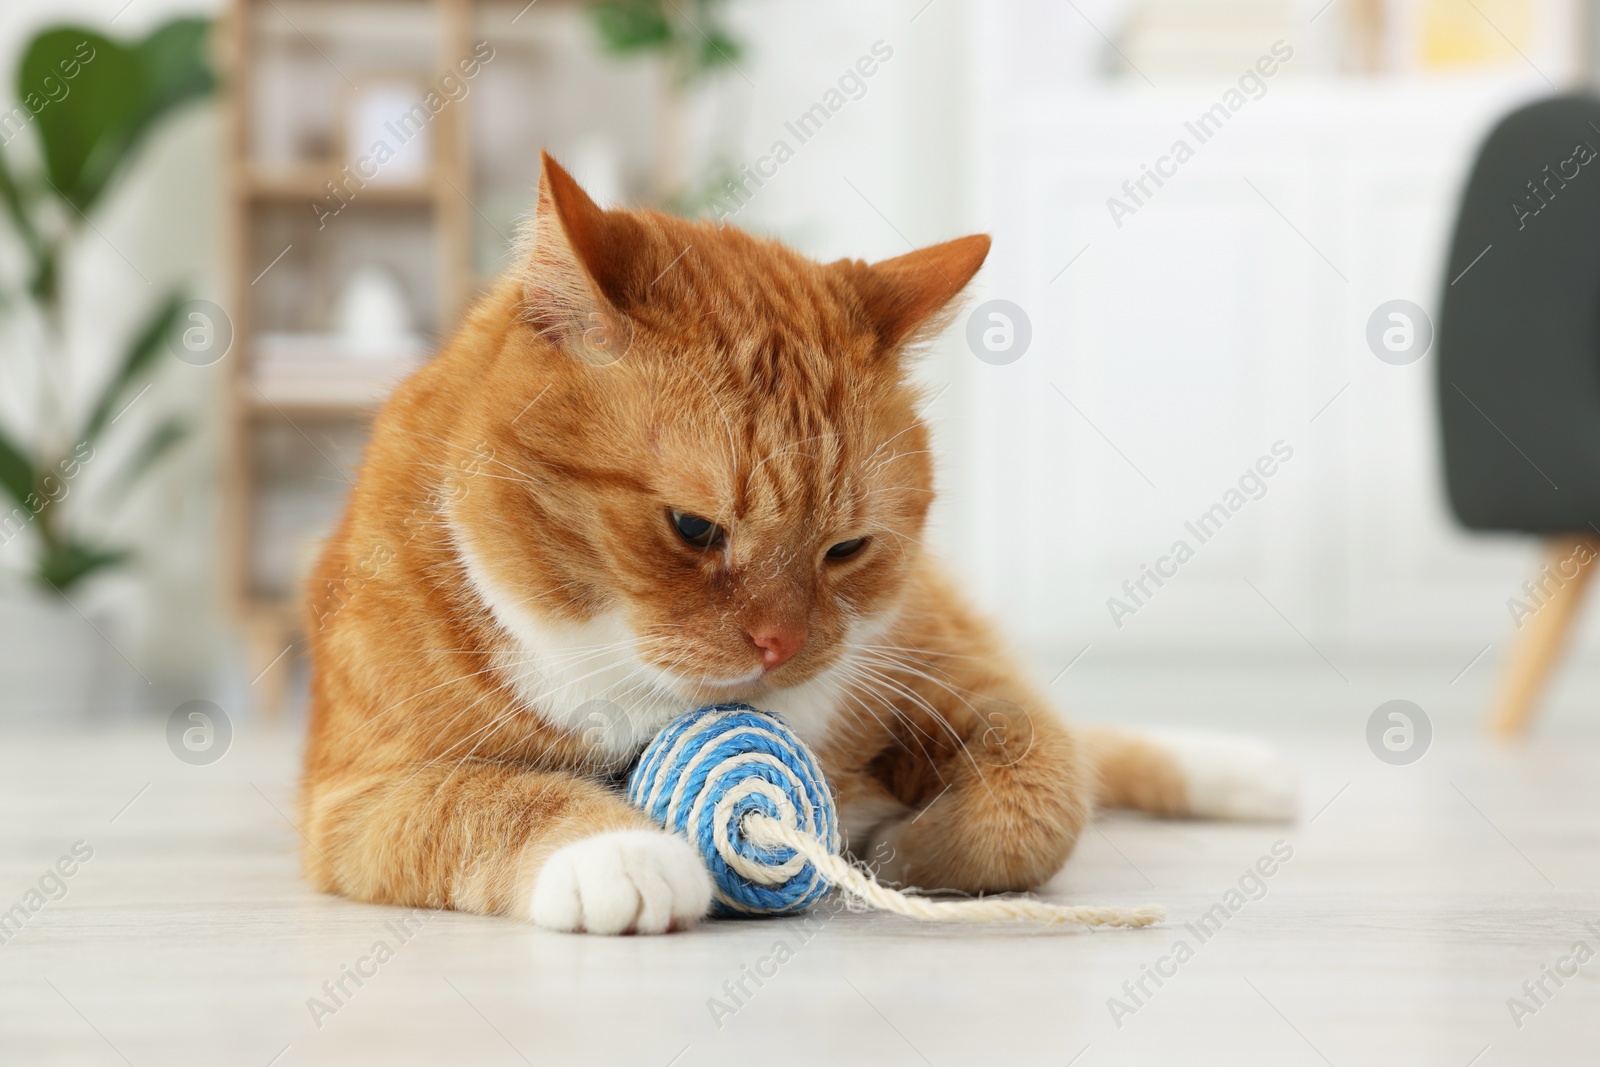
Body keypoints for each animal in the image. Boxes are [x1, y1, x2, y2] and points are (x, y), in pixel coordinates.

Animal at [302, 151, 1299, 934]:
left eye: (847, 548)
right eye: (694, 528)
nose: (780, 644)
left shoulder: (950, 680)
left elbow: (1042, 795)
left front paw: (901, 845)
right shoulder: (355, 797)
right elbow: (485, 799)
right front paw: (618, 851)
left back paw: (1249, 769)